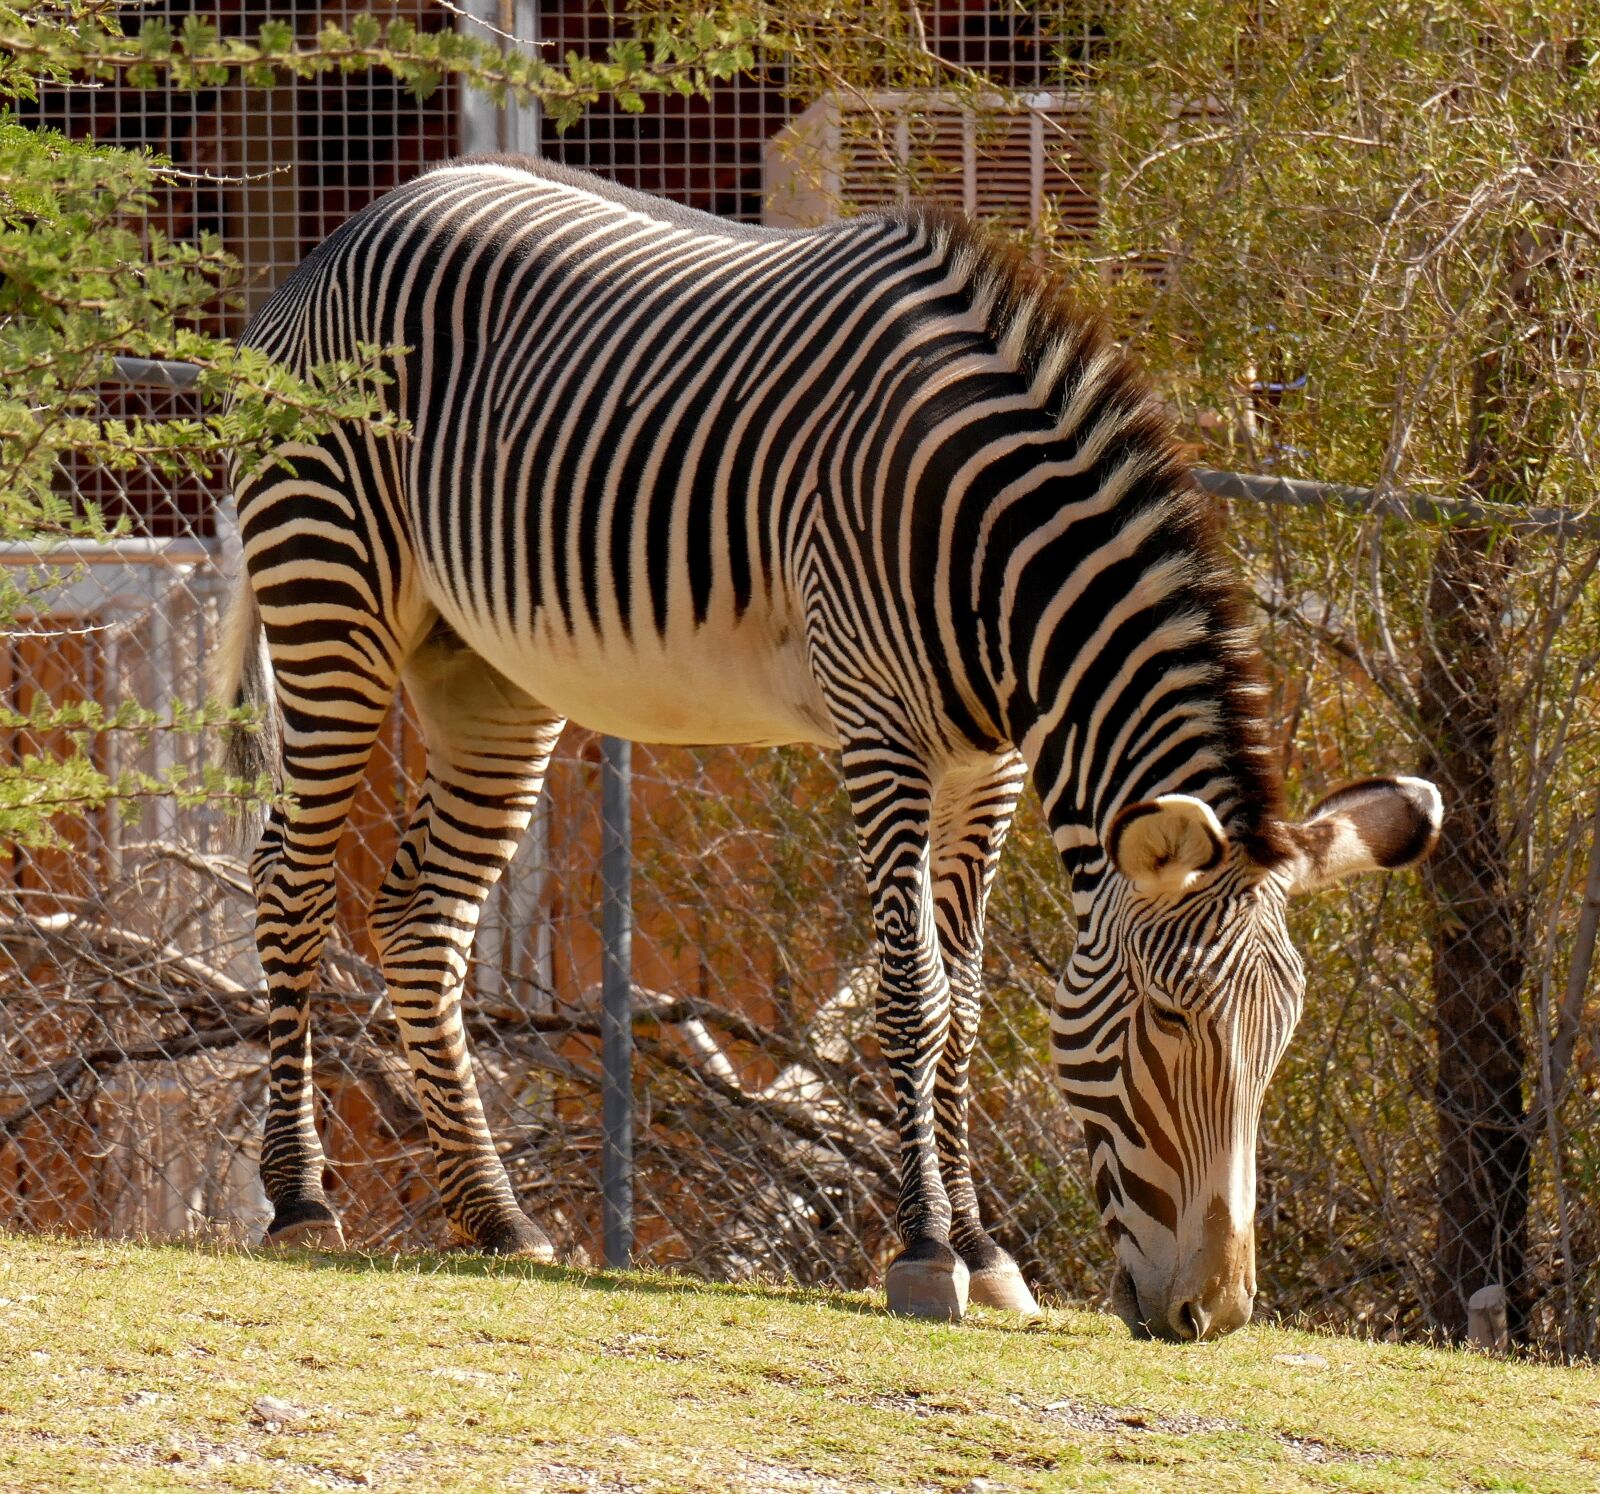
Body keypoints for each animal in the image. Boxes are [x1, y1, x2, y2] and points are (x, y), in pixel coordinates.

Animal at [216, 155, 1442, 1341]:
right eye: (1170, 1026)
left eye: (1277, 1041)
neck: (988, 544)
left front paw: (987, 1254)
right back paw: (301, 1201)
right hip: (332, 598)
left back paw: (498, 1218)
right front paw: (928, 1251)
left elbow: (970, 1005)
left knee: (422, 917)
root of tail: (349, 230)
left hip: (487, 674)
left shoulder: (987, 765)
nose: (1216, 1315)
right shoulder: (879, 730)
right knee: (292, 881)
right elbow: (916, 995)